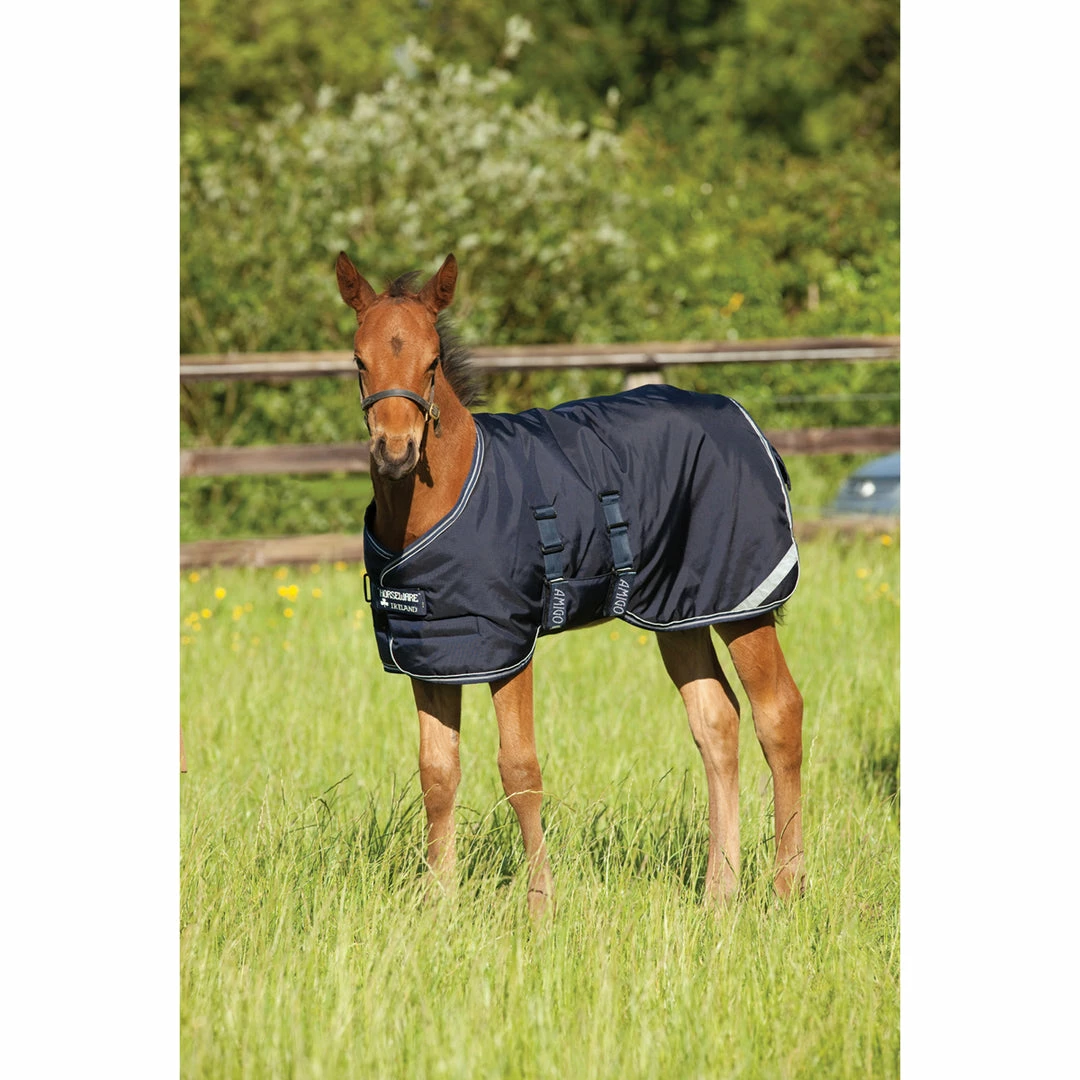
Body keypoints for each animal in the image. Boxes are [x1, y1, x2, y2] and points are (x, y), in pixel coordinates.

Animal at [336, 251, 805, 916]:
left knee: (778, 714)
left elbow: (519, 770)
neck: (445, 495)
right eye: (359, 360)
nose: (396, 452)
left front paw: (540, 906)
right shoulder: (433, 652)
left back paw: (787, 889)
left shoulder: (507, 644)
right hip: (679, 611)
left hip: (742, 602)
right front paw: (437, 905)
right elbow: (437, 772)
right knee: (717, 721)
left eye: (431, 362)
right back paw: (720, 892)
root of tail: (749, 424)